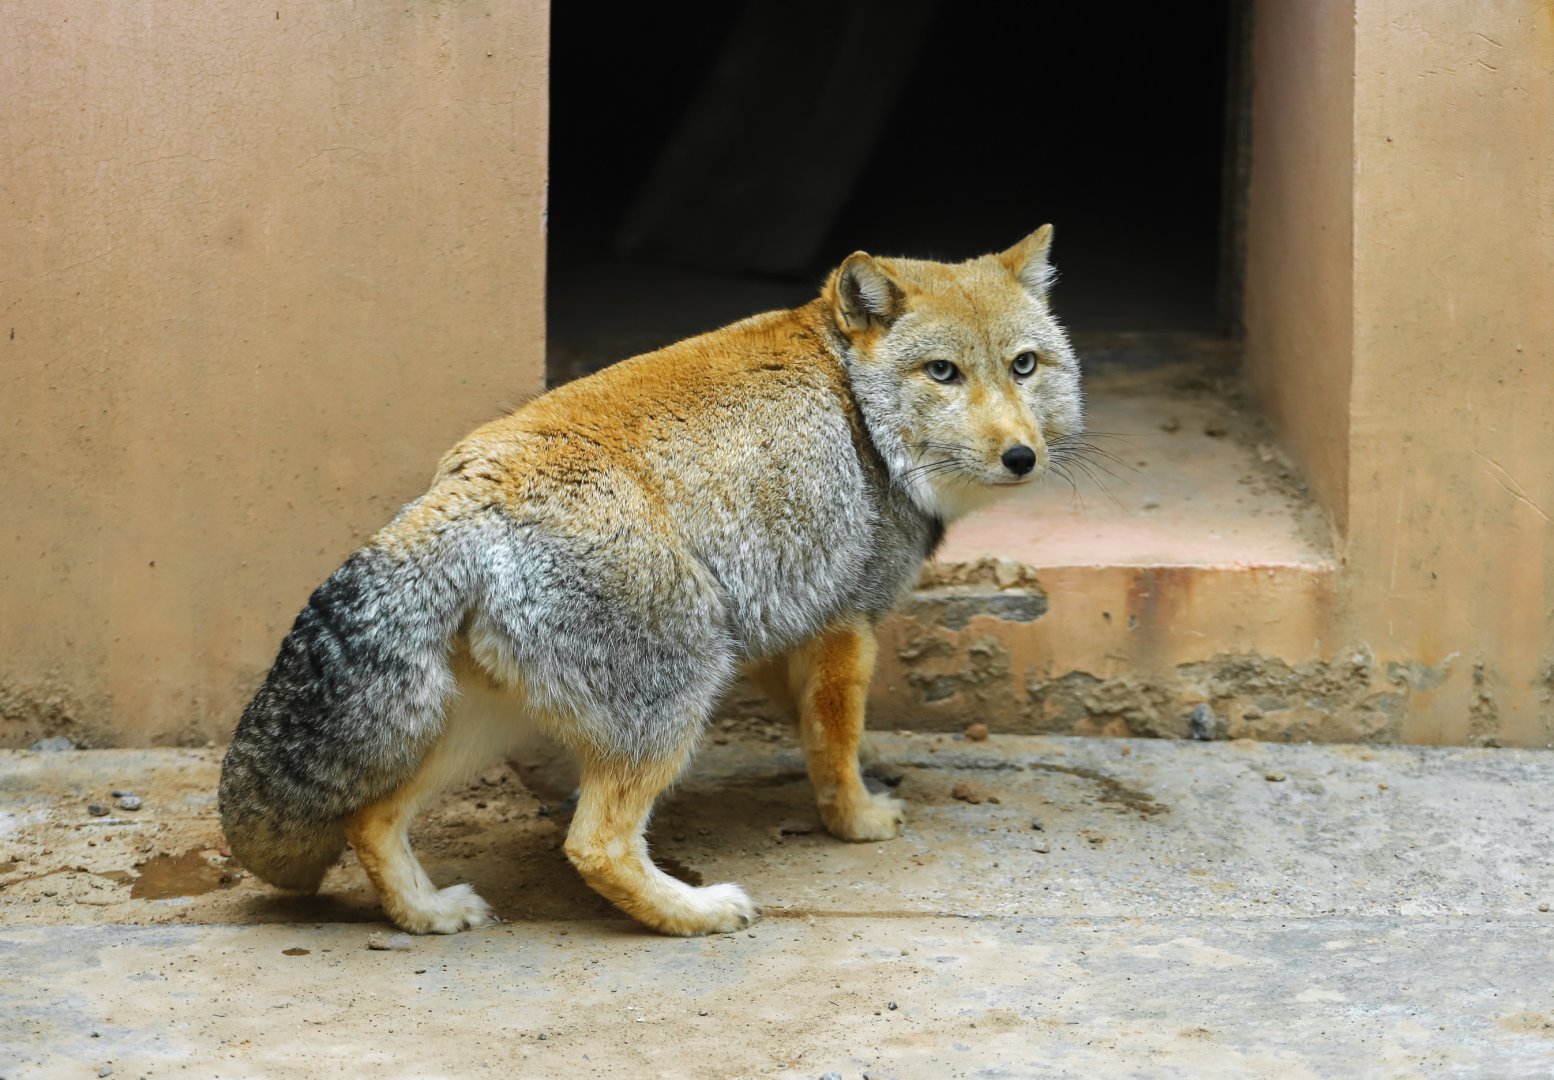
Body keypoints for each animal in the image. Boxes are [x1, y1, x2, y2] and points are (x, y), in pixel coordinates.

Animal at [218, 226, 1084, 936]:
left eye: (1024, 366)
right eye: (943, 372)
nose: (1022, 457)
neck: (855, 409)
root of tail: (474, 481)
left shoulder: (784, 627)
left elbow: (812, 732)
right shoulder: (844, 622)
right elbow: (833, 745)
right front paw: (857, 817)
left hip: (490, 721)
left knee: (369, 818)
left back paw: (426, 913)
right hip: (679, 694)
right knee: (593, 845)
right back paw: (694, 913)